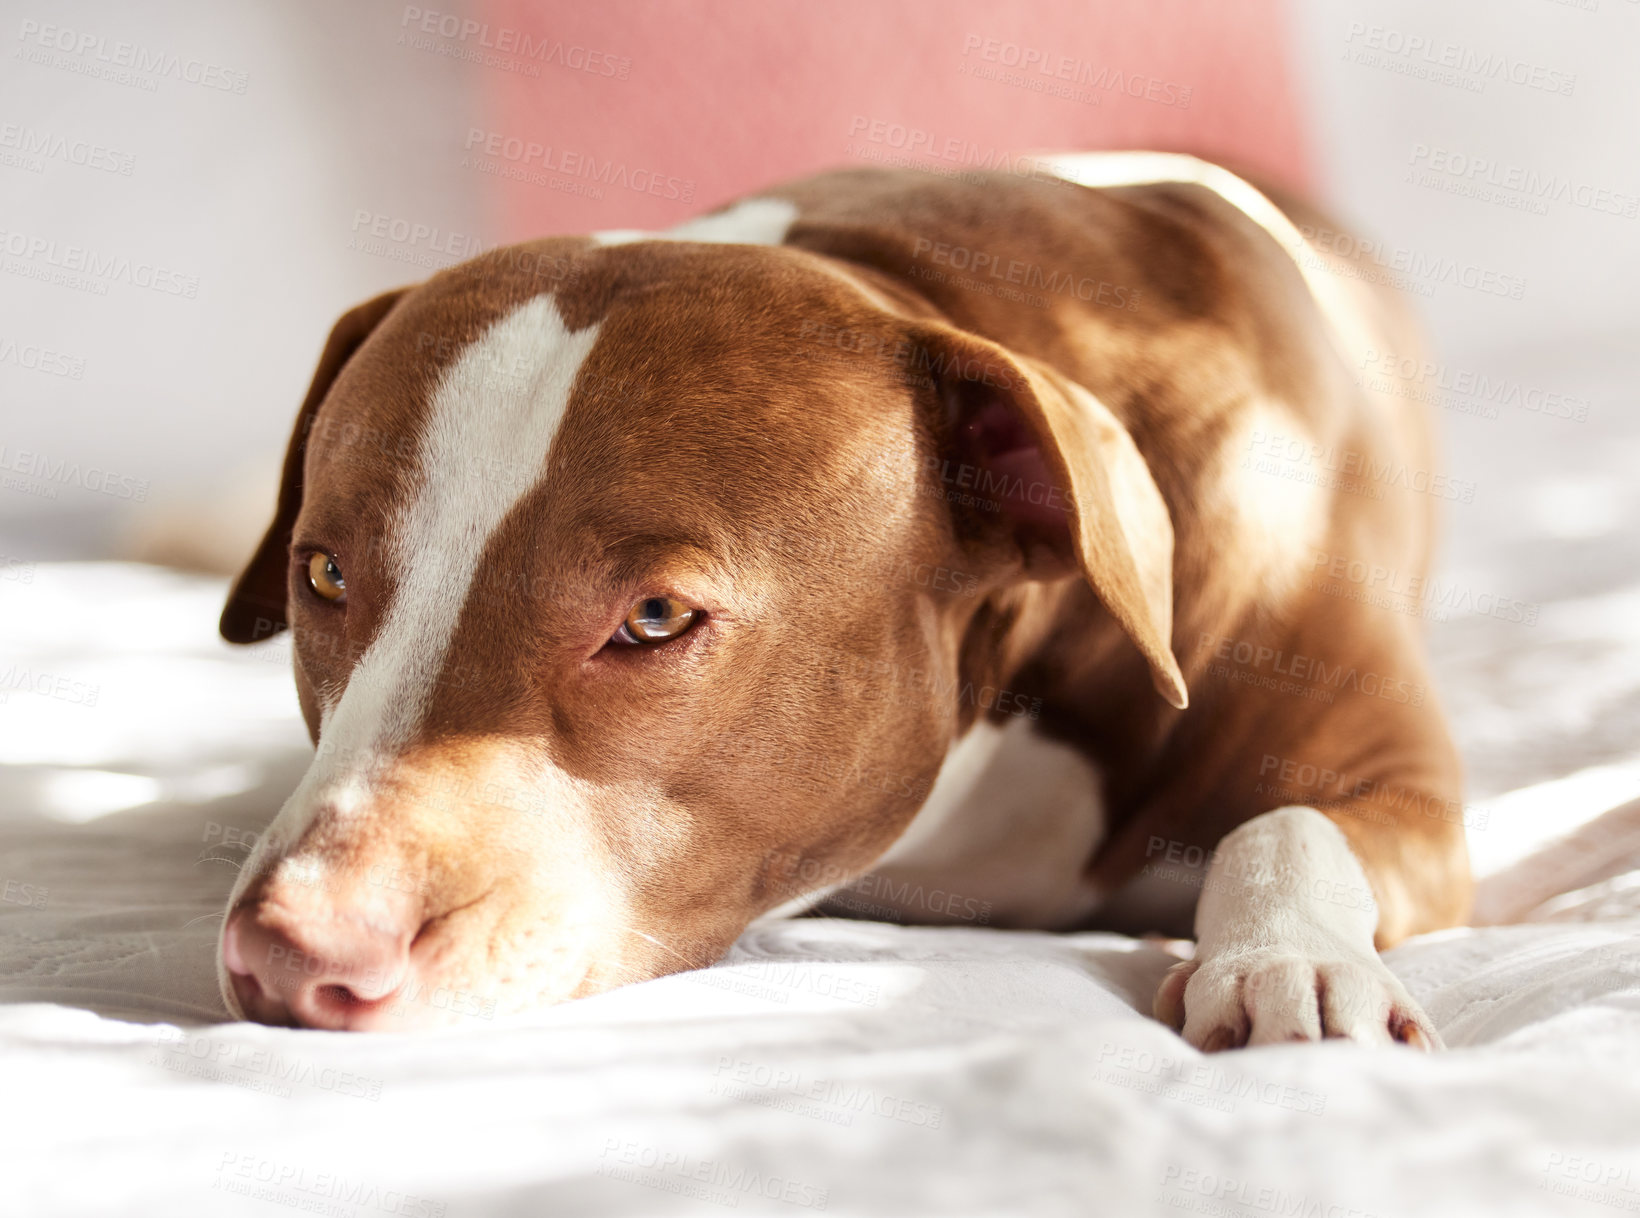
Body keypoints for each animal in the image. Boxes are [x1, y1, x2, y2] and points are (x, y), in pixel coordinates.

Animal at [211, 154, 1469, 1049]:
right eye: (323, 575)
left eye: (654, 619)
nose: (291, 949)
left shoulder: (1400, 781)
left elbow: (1287, 822)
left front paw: (1287, 961)